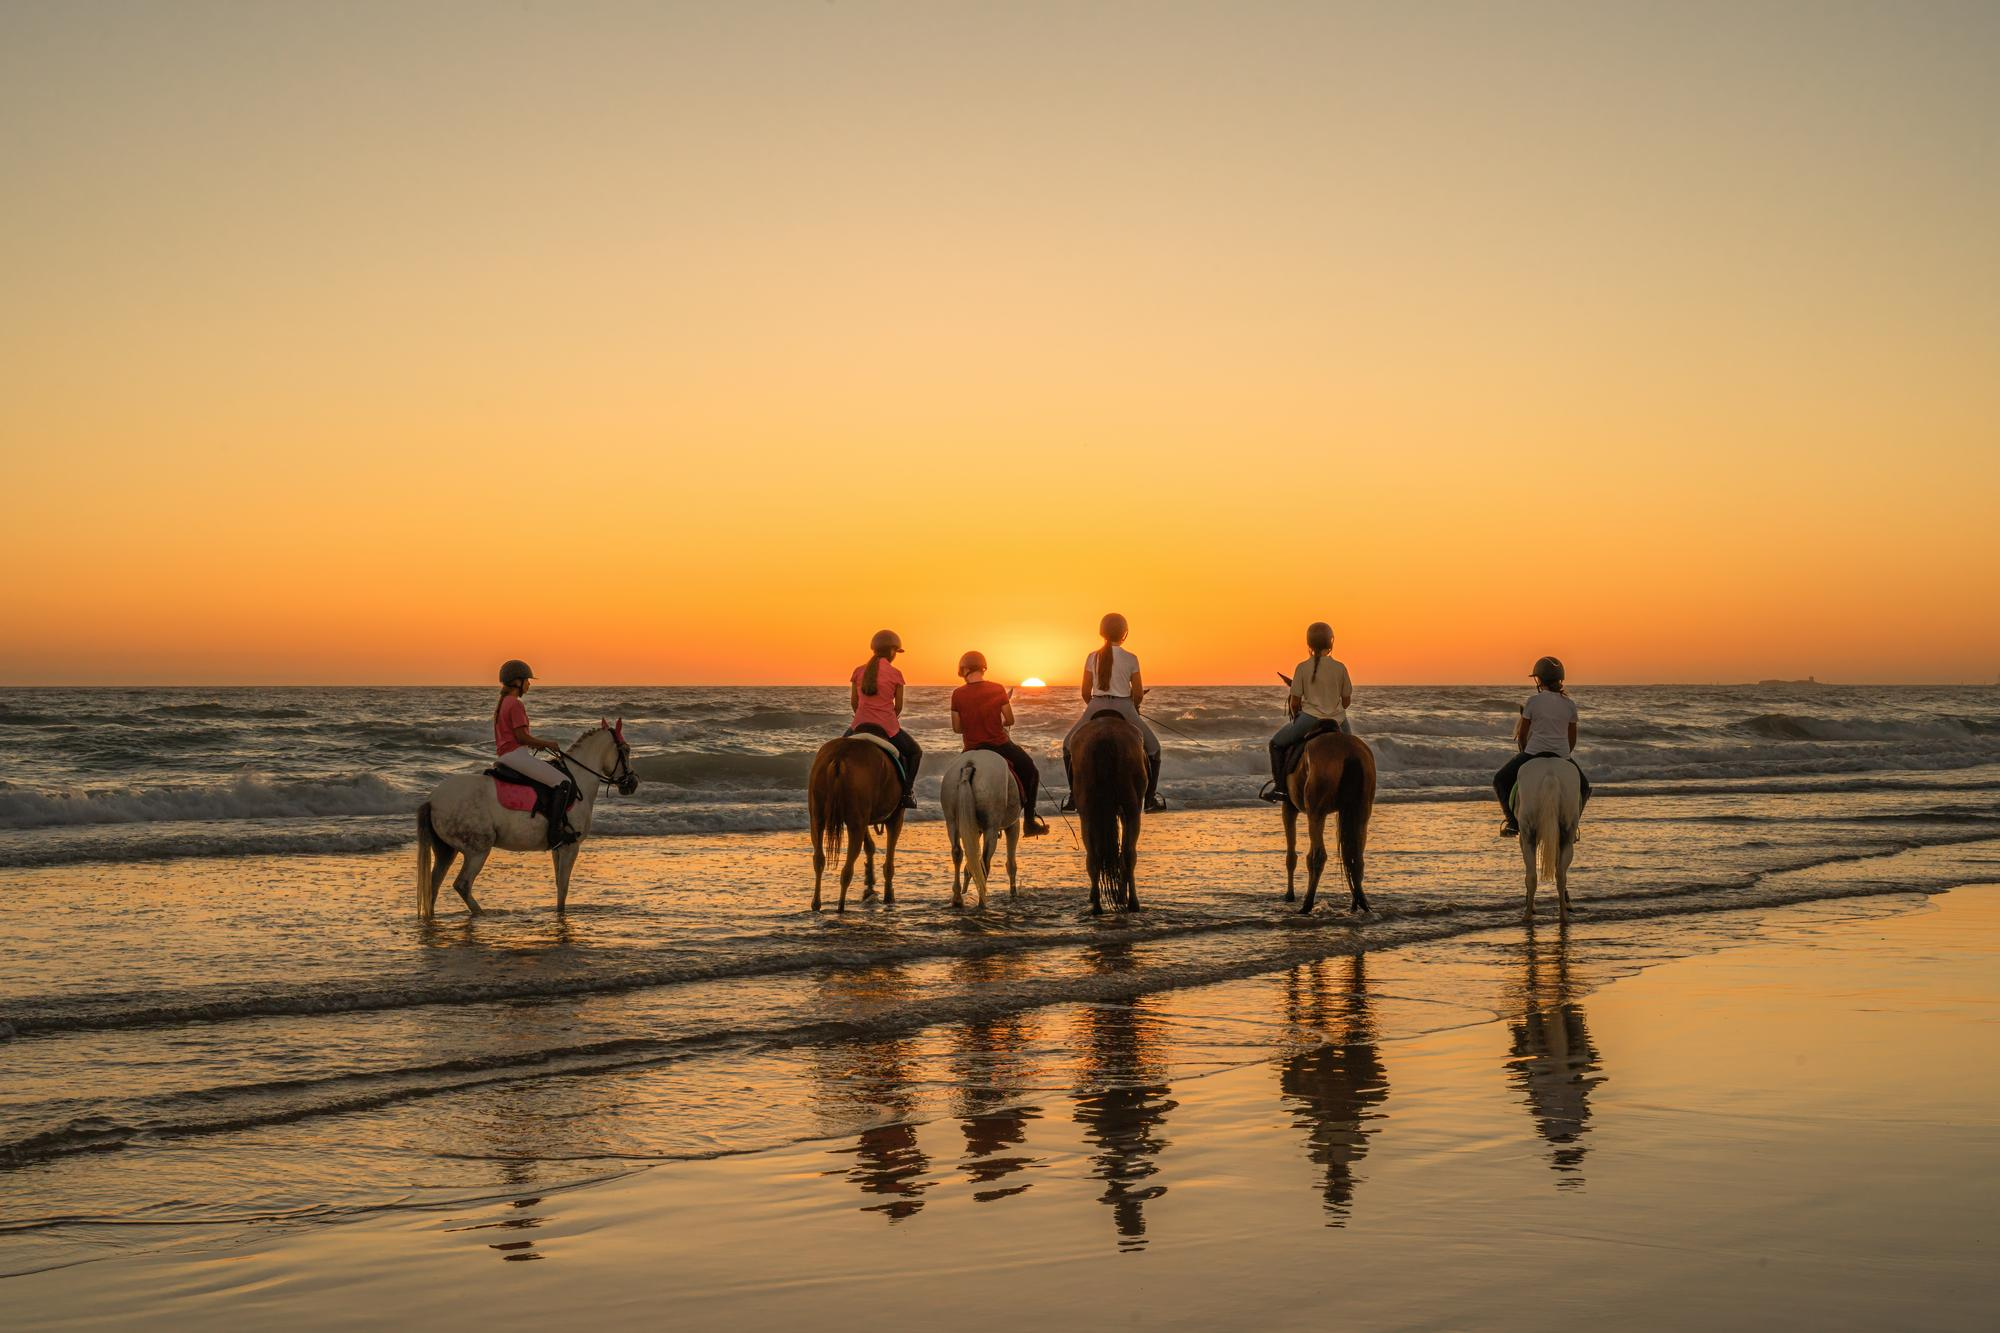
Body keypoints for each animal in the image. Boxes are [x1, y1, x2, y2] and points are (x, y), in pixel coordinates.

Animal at [418, 720, 636, 920]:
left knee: (434, 886)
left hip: (447, 850)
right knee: (462, 884)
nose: (632, 783)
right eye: (626, 750)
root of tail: (432, 800)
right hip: (477, 850)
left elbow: (559, 885)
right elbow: (563, 888)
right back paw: (483, 914)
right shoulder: (571, 847)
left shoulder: (558, 848)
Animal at [808, 732, 912, 908]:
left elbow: (869, 846)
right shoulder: (896, 818)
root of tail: (839, 756)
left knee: (819, 859)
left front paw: (870, 884)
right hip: (857, 821)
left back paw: (817, 903)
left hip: (818, 816)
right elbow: (888, 864)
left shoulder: (864, 818)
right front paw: (888, 896)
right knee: (847, 869)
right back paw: (840, 907)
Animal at [940, 748, 1024, 904]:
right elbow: (1011, 864)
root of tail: (969, 766)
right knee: (984, 861)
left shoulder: (974, 828)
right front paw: (1013, 892)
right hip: (991, 828)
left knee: (957, 852)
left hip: (951, 821)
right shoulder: (1013, 826)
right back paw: (982, 900)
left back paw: (957, 897)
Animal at [1072, 704, 1152, 912]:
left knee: (1095, 856)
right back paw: (1131, 902)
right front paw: (1120, 895)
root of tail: (1105, 737)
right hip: (1131, 809)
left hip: (1089, 812)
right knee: (1128, 854)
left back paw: (1098, 906)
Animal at [1280, 728, 1376, 912]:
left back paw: (1307, 904)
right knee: (1356, 857)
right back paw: (1358, 902)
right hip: (1360, 812)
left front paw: (1289, 895)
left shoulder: (1289, 807)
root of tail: (1350, 753)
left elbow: (1291, 855)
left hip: (1316, 813)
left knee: (1318, 857)